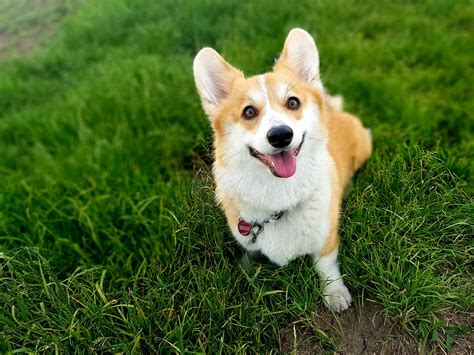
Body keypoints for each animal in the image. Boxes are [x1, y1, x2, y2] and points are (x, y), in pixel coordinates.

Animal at [192, 28, 370, 312]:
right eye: (249, 112)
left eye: (293, 103)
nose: (280, 135)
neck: (279, 195)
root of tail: (331, 108)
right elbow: (251, 254)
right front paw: (246, 270)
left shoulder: (326, 237)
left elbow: (326, 265)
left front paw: (334, 293)